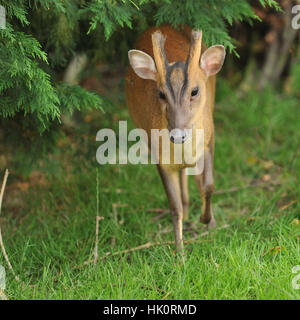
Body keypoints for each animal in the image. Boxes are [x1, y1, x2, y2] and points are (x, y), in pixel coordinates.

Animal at [125, 25, 226, 254]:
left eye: (195, 91)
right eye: (161, 93)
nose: (177, 135)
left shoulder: (210, 139)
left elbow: (208, 186)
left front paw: (207, 221)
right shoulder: (159, 157)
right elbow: (174, 206)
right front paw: (179, 252)